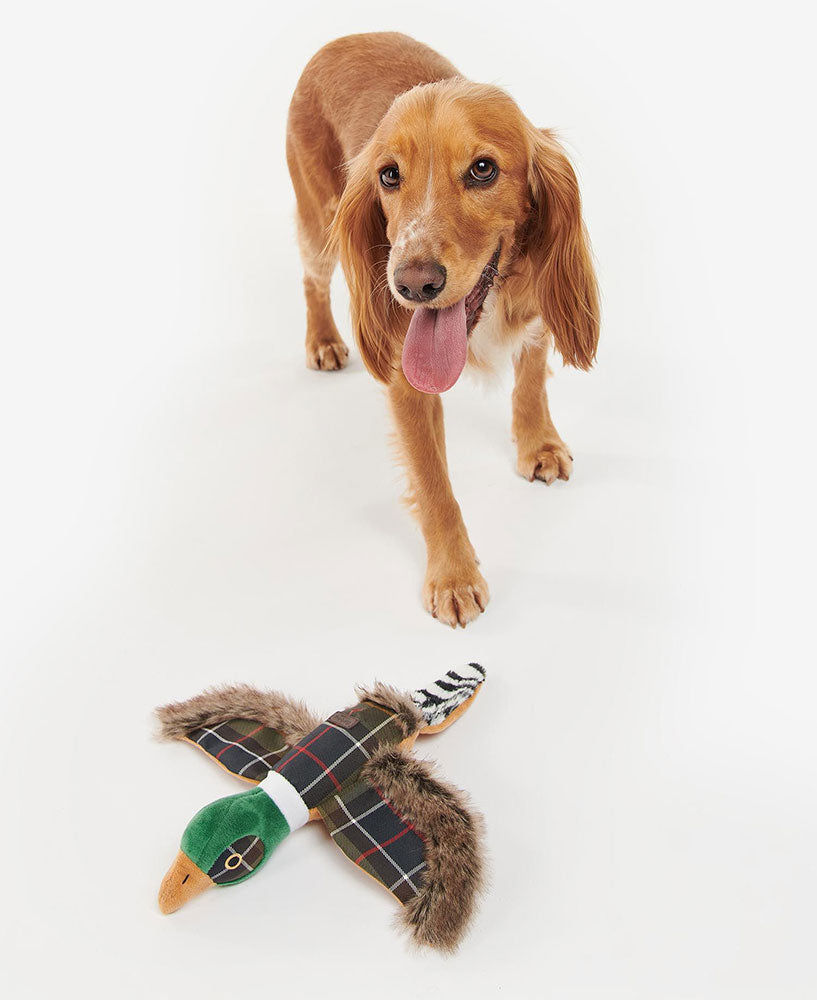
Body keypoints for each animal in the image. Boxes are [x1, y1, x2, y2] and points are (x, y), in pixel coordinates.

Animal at [286, 31, 600, 624]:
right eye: (389, 174)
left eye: (482, 169)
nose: (413, 283)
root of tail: (341, 38)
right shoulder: (408, 379)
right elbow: (433, 481)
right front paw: (453, 576)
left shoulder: (538, 303)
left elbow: (530, 382)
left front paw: (538, 443)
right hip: (319, 222)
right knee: (312, 280)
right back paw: (324, 341)